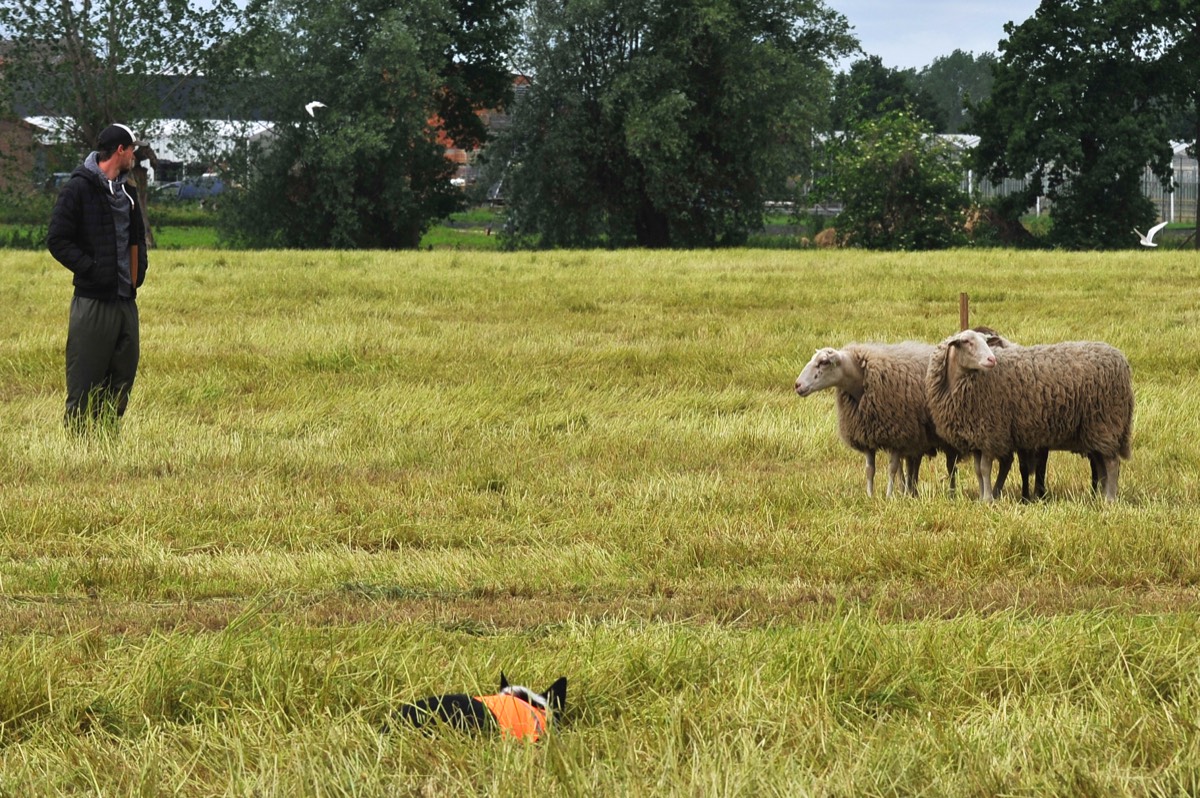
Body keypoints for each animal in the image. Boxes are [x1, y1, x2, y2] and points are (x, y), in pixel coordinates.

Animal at [792, 343, 960, 499]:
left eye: (824, 362)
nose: (797, 385)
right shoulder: (867, 436)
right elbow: (870, 470)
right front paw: (870, 496)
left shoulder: (897, 434)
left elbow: (891, 469)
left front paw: (888, 496)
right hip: (917, 437)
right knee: (913, 464)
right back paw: (911, 492)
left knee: (950, 466)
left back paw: (950, 494)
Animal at [926, 326, 1132, 501]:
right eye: (967, 341)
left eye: (987, 341)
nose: (992, 360)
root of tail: (1121, 360)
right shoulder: (977, 437)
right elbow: (978, 470)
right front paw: (982, 498)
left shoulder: (991, 433)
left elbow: (985, 469)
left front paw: (988, 500)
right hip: (1095, 430)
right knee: (1101, 464)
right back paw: (1102, 497)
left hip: (1105, 423)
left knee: (1112, 463)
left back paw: (1110, 500)